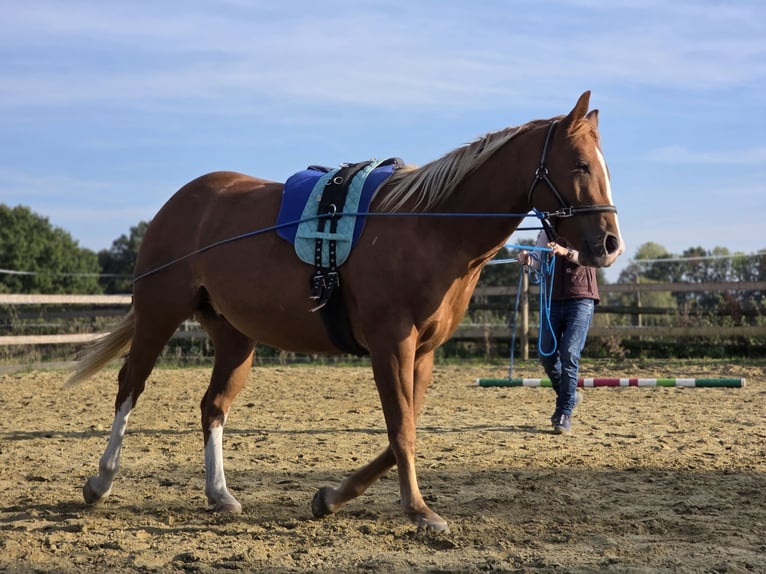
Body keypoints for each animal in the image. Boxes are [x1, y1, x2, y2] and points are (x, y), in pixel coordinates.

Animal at [67, 91, 624, 532]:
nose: (609, 244)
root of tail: (183, 200)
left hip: (235, 338)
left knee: (213, 406)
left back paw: (219, 494)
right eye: (579, 164)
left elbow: (403, 430)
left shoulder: (422, 354)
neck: (430, 227)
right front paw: (419, 512)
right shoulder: (390, 344)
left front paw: (330, 497)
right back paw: (101, 481)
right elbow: (401, 429)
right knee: (129, 388)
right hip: (159, 314)